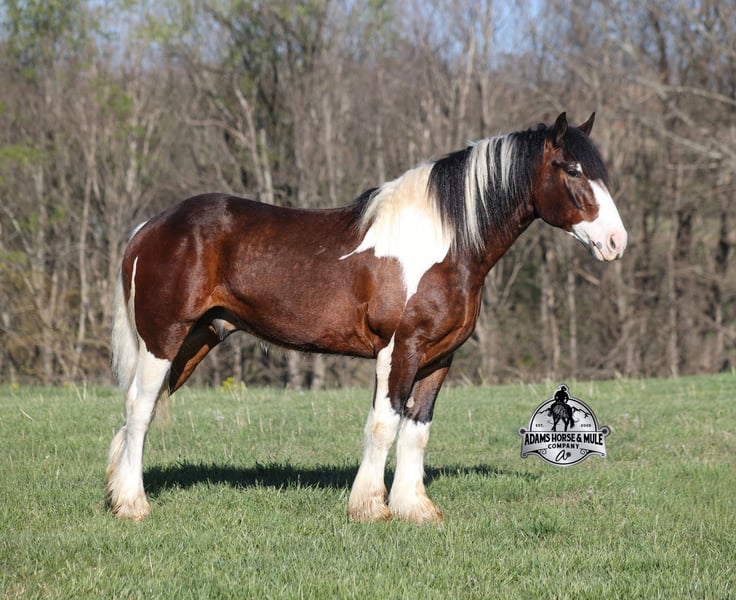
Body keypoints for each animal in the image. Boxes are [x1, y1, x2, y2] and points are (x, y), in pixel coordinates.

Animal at [106, 112, 627, 523]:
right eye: (573, 169)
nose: (616, 242)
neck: (443, 241)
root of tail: (150, 227)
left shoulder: (438, 358)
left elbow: (417, 429)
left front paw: (414, 508)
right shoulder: (399, 349)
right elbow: (384, 424)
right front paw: (370, 507)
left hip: (195, 341)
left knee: (137, 416)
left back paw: (117, 492)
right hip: (163, 340)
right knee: (139, 407)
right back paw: (133, 505)